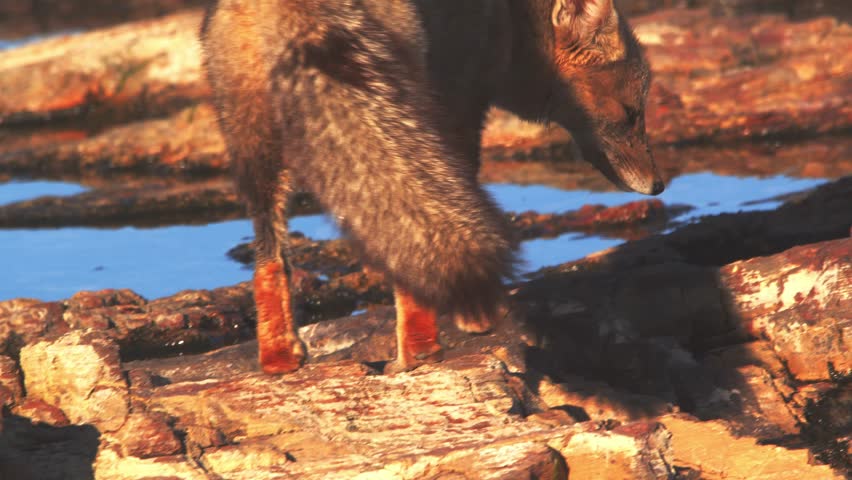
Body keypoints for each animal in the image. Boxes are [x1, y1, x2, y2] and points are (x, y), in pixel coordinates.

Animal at [200, 0, 663, 374]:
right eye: (631, 113)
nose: (659, 185)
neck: (508, 20)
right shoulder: (461, 111)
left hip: (257, 155)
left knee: (270, 259)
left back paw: (279, 358)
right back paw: (423, 349)